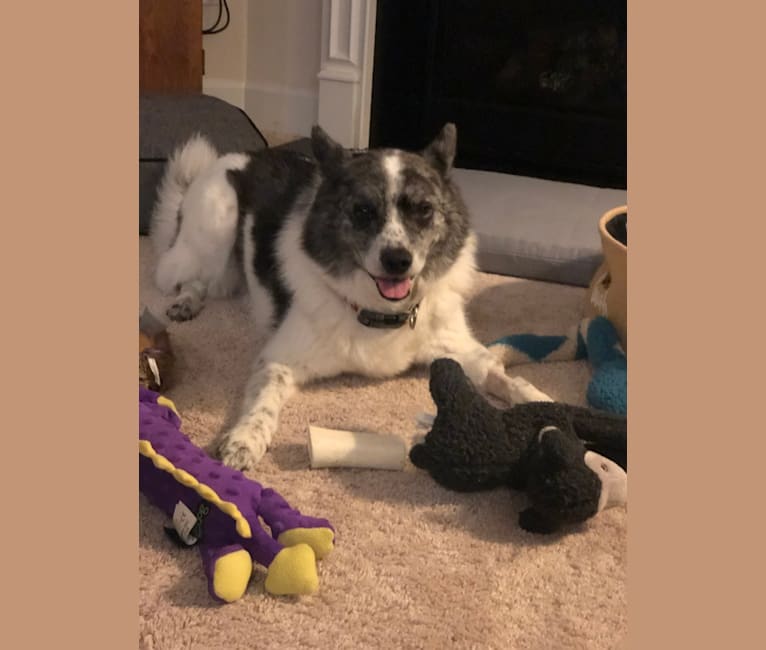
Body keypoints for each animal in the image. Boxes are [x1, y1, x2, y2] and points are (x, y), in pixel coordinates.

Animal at [147, 121, 540, 468]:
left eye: (424, 210)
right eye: (362, 211)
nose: (397, 261)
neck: (380, 313)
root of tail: (237, 157)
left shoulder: (463, 351)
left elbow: (507, 379)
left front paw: (543, 405)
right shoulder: (279, 360)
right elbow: (262, 404)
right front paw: (244, 440)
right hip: (216, 233)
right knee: (191, 276)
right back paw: (186, 301)